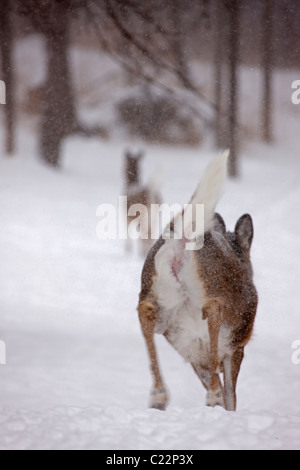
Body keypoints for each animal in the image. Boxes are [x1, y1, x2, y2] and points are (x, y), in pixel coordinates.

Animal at [138, 153, 258, 412]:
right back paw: (210, 394)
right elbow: (231, 397)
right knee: (213, 309)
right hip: (217, 296)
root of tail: (184, 234)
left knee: (145, 310)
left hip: (160, 299)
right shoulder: (237, 347)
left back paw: (158, 396)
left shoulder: (194, 357)